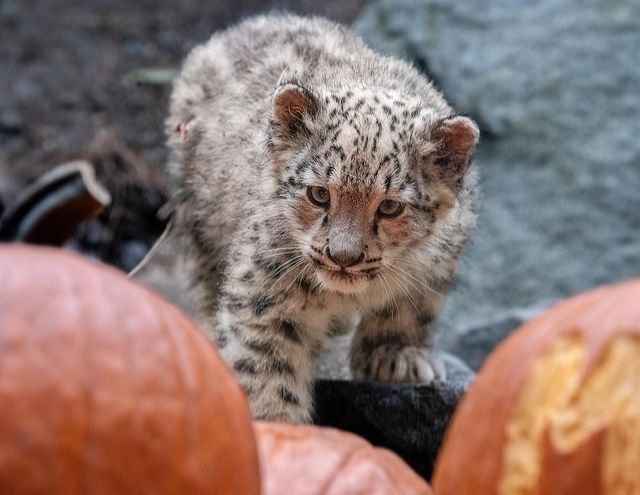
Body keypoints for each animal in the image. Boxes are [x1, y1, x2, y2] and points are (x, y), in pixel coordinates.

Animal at [165, 13, 479, 423]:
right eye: (319, 194)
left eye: (390, 207)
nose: (343, 257)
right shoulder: (266, 293)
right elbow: (266, 367)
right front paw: (276, 423)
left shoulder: (438, 262)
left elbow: (413, 306)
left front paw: (398, 357)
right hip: (198, 219)